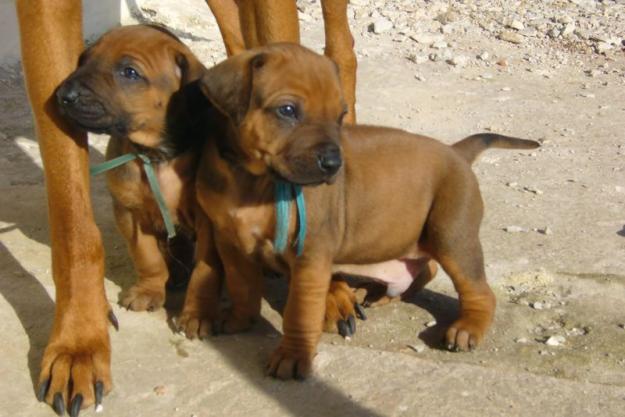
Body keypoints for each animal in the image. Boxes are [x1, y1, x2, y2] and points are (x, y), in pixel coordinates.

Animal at [193, 44, 540, 378]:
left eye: (341, 115)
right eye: (287, 111)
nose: (334, 163)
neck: (254, 180)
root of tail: (455, 151)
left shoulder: (309, 254)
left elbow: (300, 311)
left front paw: (293, 355)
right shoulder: (230, 242)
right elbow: (242, 285)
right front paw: (239, 319)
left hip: (451, 233)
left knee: (478, 289)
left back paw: (467, 327)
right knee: (423, 268)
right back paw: (370, 292)